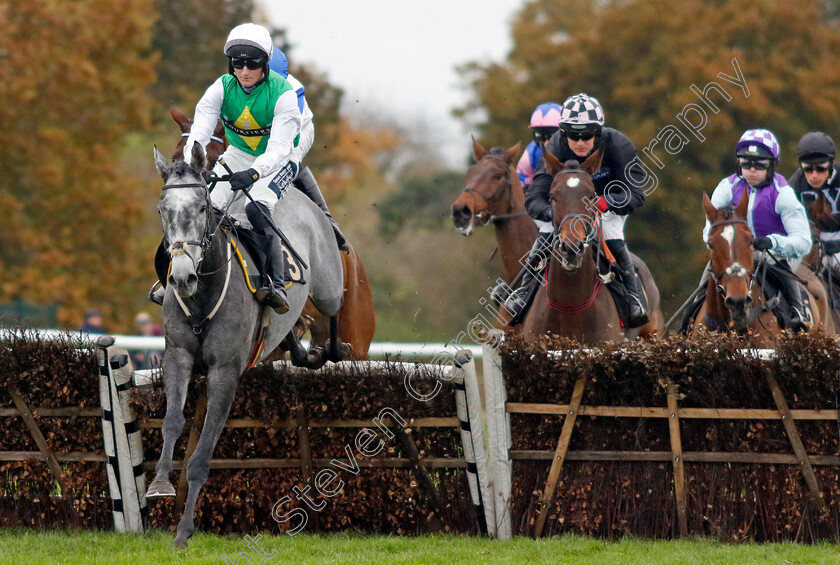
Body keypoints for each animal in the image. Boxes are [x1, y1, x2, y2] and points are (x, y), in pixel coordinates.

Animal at [144, 144, 344, 548]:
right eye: (162, 210)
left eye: (201, 207)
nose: (182, 277)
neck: (203, 294)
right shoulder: (178, 356)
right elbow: (172, 421)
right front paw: (159, 483)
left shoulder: (225, 372)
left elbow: (203, 453)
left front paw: (184, 530)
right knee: (291, 333)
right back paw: (304, 350)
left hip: (329, 284)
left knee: (334, 307)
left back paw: (330, 350)